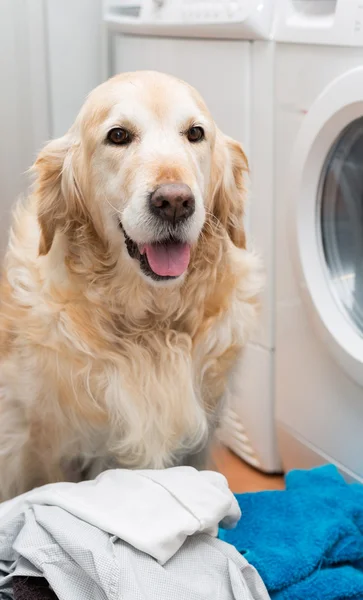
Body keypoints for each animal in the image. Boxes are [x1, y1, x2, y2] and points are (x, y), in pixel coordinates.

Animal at [0, 71, 264, 502]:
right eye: (119, 135)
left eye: (195, 133)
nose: (174, 202)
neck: (150, 326)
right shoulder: (47, 445)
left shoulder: (198, 441)